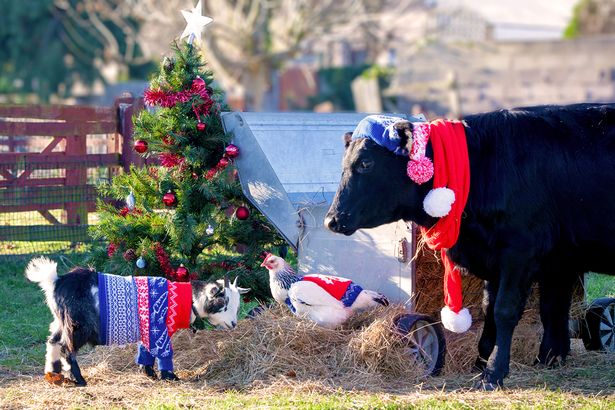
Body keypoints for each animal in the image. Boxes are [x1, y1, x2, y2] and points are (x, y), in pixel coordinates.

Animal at [26, 258, 248, 386]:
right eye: (224, 303)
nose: (233, 324)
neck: (187, 299)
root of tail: (56, 282)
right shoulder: (158, 329)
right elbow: (163, 353)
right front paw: (170, 377)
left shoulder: (147, 330)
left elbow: (145, 352)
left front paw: (148, 373)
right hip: (78, 325)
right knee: (66, 348)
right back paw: (79, 379)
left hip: (60, 321)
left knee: (52, 342)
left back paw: (54, 374)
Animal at [324, 104, 612, 390]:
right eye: (344, 165)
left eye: (366, 163)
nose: (331, 220)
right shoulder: (524, 261)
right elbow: (500, 310)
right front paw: (487, 362)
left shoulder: (520, 253)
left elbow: (505, 310)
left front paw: (494, 372)